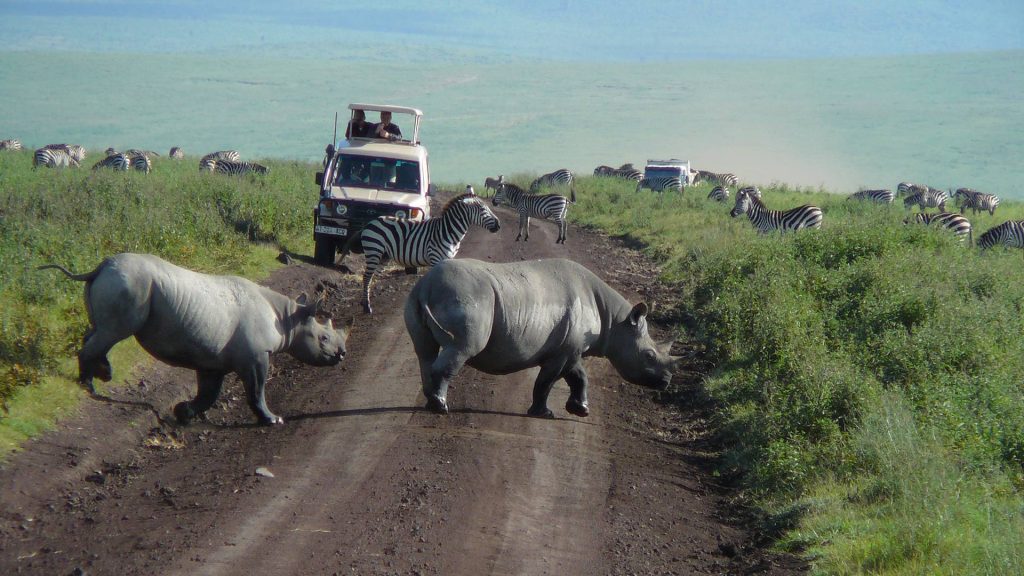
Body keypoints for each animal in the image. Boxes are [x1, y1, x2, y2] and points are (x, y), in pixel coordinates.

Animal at [340, 189, 501, 313]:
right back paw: (367, 307)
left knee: (372, 277)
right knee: (366, 277)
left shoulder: (448, 258)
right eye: (483, 210)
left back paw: (366, 302)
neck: (448, 231)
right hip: (374, 251)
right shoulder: (436, 258)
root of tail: (370, 223)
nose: (498, 225)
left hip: (383, 256)